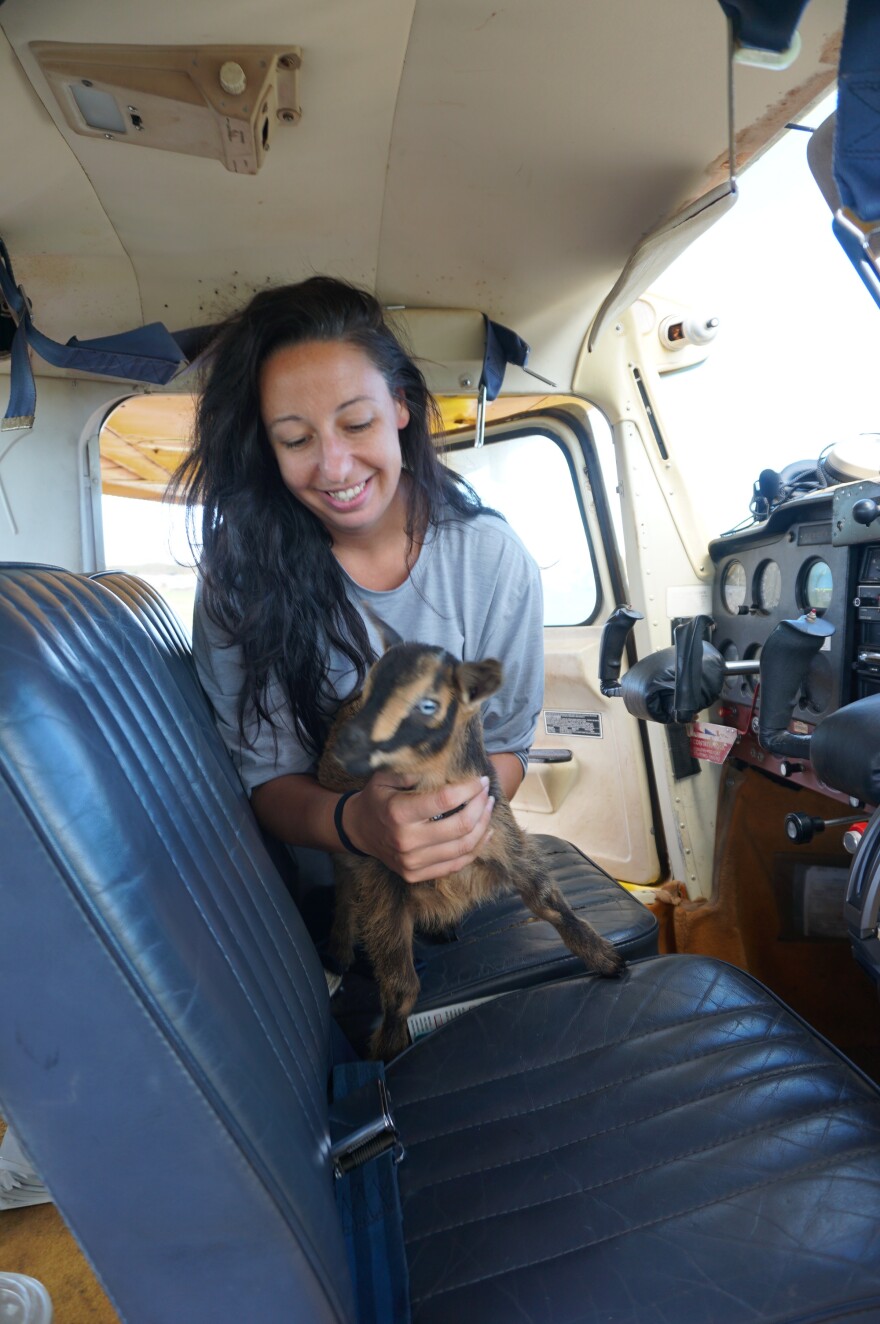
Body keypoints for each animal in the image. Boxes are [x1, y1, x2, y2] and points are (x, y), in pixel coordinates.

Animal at [318, 635, 621, 1059]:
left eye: (428, 704)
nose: (350, 745)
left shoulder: (506, 838)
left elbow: (551, 903)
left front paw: (606, 958)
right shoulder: (382, 880)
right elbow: (399, 982)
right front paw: (388, 1048)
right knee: (344, 893)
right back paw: (340, 950)